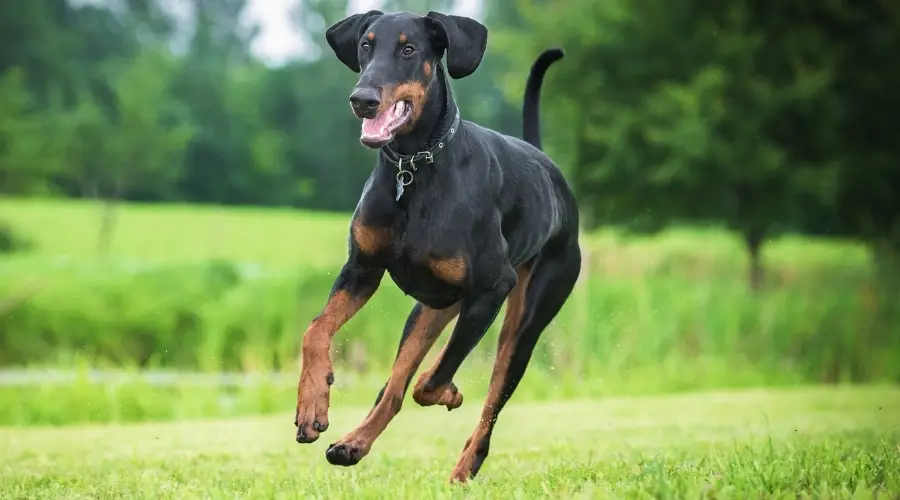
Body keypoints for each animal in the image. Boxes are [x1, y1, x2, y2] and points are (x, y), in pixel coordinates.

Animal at [292, 9, 580, 482]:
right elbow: (316, 330)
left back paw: (464, 467)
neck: (413, 170)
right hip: (429, 310)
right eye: (366, 45)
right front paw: (312, 406)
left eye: (409, 49)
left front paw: (450, 393)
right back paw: (353, 444)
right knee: (394, 385)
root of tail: (550, 169)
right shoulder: (361, 270)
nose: (362, 99)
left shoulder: (492, 288)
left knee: (488, 402)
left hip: (526, 319)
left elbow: (432, 380)